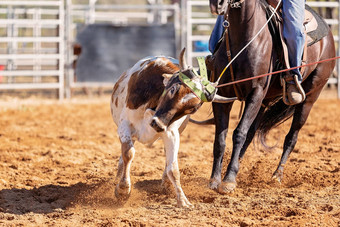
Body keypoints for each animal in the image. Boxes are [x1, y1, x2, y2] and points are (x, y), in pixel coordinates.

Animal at [110, 48, 235, 207]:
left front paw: (183, 200)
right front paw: (123, 189)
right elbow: (128, 153)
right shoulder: (125, 125)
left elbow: (173, 169)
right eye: (173, 89)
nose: (158, 124)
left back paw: (166, 183)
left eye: (193, 108)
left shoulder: (171, 133)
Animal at [209, 0, 336, 194]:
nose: (218, 4)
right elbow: (220, 139)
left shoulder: (255, 93)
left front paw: (229, 180)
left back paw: (277, 175)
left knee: (291, 137)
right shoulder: (222, 95)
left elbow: (239, 133)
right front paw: (215, 179)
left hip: (309, 98)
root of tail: (328, 34)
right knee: (251, 133)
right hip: (265, 101)